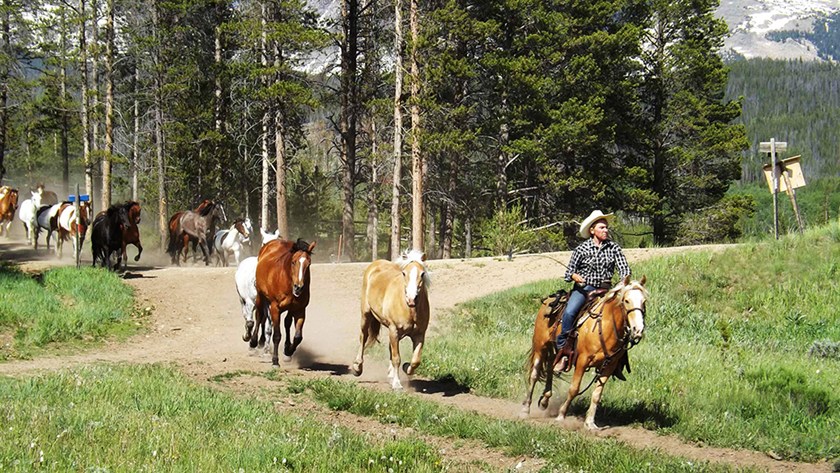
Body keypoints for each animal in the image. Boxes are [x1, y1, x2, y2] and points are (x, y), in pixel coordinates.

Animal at [350, 249, 430, 390]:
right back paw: (357, 367)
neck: (409, 310)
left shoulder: (419, 335)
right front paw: (397, 384)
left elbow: (415, 361)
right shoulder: (394, 330)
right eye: (404, 273)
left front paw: (405, 368)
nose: (411, 299)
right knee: (363, 337)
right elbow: (396, 358)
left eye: (422, 273)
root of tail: (376, 263)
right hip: (366, 315)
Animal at [520, 272, 648, 428]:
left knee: (550, 367)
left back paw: (545, 400)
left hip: (554, 350)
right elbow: (574, 389)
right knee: (534, 374)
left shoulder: (609, 365)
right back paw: (525, 409)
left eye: (643, 302)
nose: (638, 330)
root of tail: (549, 300)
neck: (605, 326)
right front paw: (561, 415)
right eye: (626, 300)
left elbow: (597, 394)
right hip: (540, 346)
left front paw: (590, 423)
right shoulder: (582, 360)